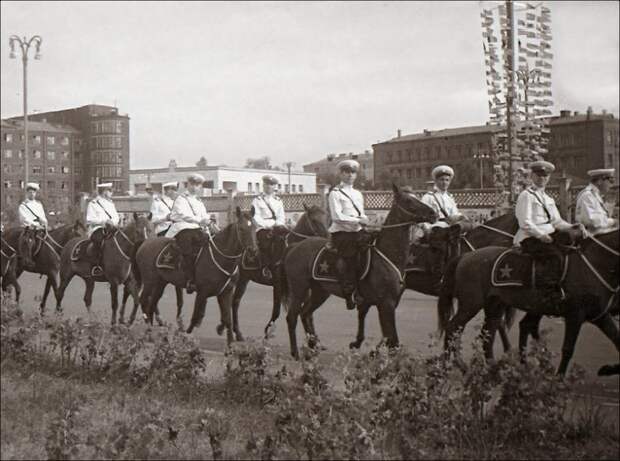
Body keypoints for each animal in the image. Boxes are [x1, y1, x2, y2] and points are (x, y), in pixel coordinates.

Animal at [134, 207, 258, 344]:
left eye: (255, 227)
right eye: (241, 228)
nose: (253, 250)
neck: (220, 257)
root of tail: (145, 243)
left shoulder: (226, 292)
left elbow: (227, 319)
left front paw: (230, 343)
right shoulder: (202, 292)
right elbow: (196, 317)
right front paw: (185, 335)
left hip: (160, 284)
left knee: (151, 305)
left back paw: (150, 333)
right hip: (149, 282)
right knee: (143, 301)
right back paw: (148, 332)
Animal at [230, 203, 332, 340]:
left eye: (327, 218)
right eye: (314, 220)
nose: (328, 239)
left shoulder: (303, 287)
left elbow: (307, 312)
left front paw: (312, 337)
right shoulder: (278, 283)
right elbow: (277, 308)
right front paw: (269, 329)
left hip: (245, 278)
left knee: (235, 301)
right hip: (242, 278)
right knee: (235, 302)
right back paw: (237, 332)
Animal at [280, 184, 436, 360]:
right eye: (408, 200)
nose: (433, 213)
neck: (386, 254)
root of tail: (294, 247)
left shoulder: (379, 302)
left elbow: (379, 331)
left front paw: (360, 345)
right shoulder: (387, 303)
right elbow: (392, 338)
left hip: (320, 292)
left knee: (305, 313)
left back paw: (313, 346)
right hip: (299, 289)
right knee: (292, 317)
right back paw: (295, 352)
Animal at [436, 229, 620, 374]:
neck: (594, 264)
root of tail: (465, 256)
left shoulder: (600, 316)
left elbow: (617, 339)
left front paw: (608, 369)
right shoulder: (575, 315)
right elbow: (568, 349)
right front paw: (559, 378)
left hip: (494, 306)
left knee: (487, 335)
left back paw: (492, 368)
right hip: (470, 304)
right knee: (453, 328)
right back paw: (449, 366)